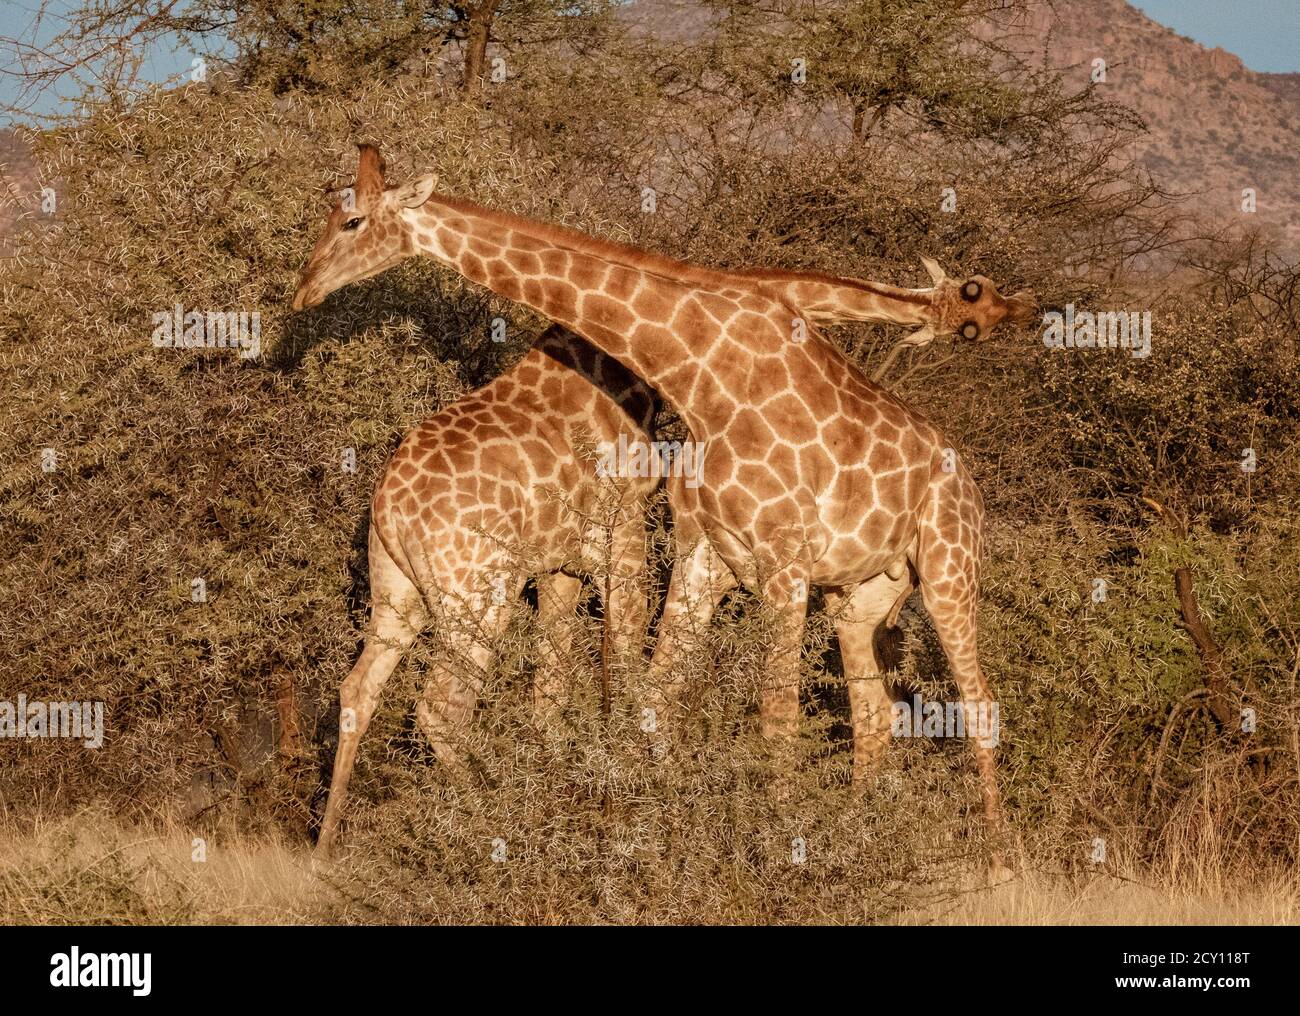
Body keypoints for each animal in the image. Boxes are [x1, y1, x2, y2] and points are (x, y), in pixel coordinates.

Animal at [295, 142, 1034, 873]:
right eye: (330, 218)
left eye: (351, 222)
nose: (303, 288)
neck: (698, 373)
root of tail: (387, 505)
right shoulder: (701, 553)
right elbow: (651, 696)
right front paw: (649, 825)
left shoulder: (740, 556)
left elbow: (730, 707)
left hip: (942, 568)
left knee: (970, 703)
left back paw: (991, 861)